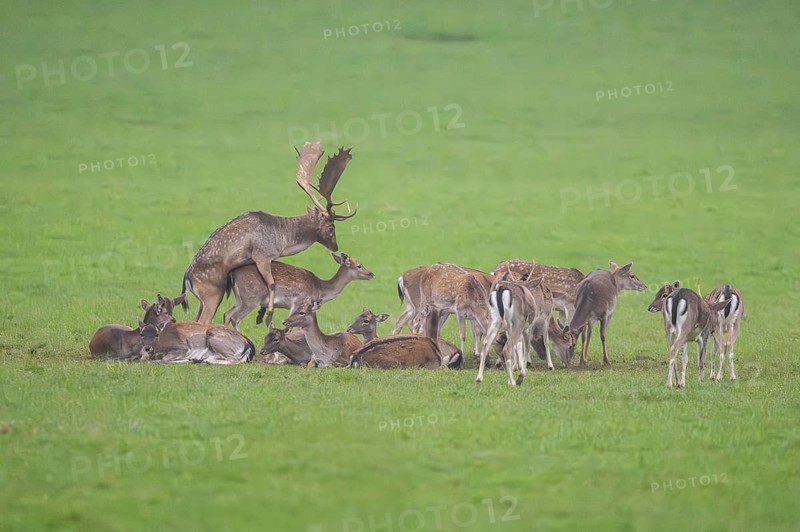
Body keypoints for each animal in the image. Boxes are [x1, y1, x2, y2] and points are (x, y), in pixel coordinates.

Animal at [180, 142, 356, 326]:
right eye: (331, 228)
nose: (336, 247)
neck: (283, 240)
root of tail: (186, 279)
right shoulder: (262, 254)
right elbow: (271, 283)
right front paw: (265, 315)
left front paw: (263, 312)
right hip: (213, 292)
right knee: (203, 321)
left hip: (204, 298)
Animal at [222, 252, 374, 330]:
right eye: (359, 265)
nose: (371, 274)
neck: (321, 289)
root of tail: (231, 274)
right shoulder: (298, 301)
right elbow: (289, 325)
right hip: (251, 298)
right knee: (235, 318)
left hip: (239, 298)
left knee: (227, 313)